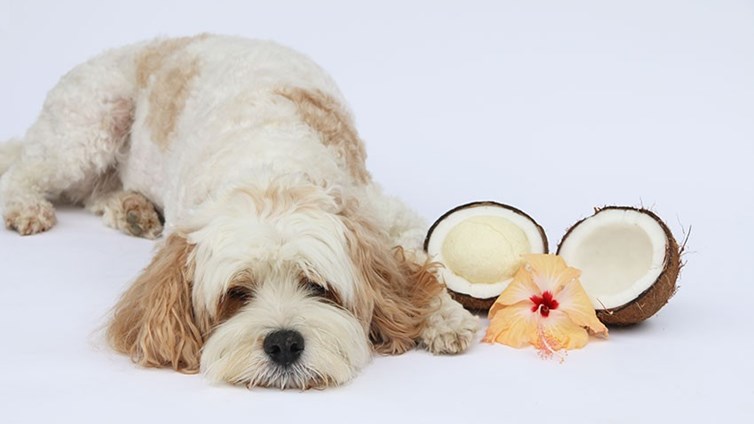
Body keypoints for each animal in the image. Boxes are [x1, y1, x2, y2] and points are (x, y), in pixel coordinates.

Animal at [0, 34, 478, 390]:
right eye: (237, 294)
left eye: (317, 286)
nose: (284, 344)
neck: (268, 167)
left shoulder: (382, 214)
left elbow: (419, 263)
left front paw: (444, 317)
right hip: (85, 128)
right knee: (25, 171)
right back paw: (28, 206)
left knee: (97, 191)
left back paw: (130, 208)